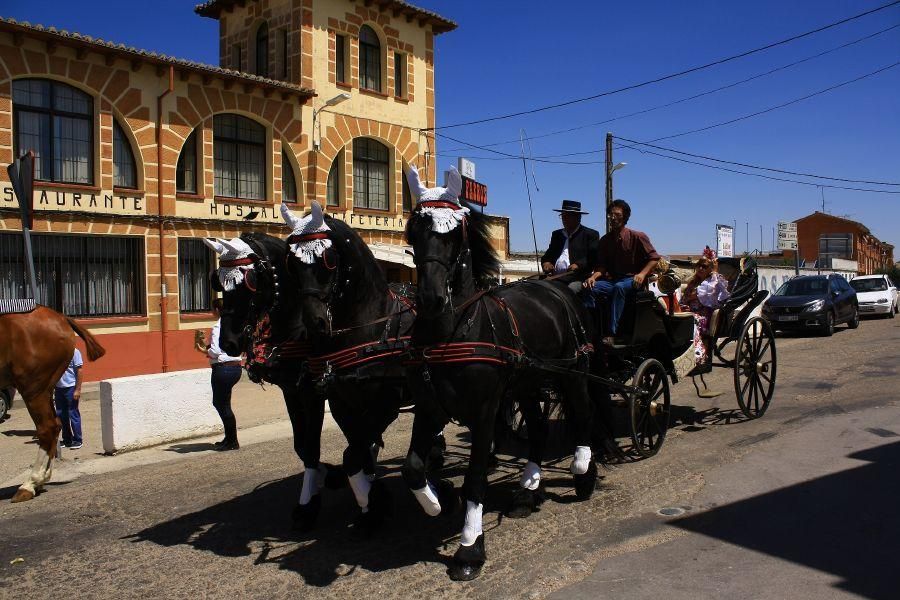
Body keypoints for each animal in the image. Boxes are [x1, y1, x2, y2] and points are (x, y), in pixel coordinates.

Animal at [0, 304, 105, 502]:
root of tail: (60, 317)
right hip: (46, 389)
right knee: (55, 425)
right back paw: (40, 479)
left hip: (34, 387)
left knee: (47, 428)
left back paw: (31, 483)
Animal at [207, 234, 334, 528]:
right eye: (219, 282)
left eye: (251, 281)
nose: (228, 342)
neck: (298, 328)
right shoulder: (291, 391)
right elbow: (301, 445)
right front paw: (323, 476)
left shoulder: (312, 393)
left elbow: (312, 445)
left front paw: (310, 505)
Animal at [400, 166, 596, 580]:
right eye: (415, 230)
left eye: (453, 234)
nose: (430, 299)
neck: (454, 329)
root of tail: (557, 291)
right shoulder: (429, 408)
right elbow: (412, 468)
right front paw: (438, 500)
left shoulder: (484, 413)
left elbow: (475, 478)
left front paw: (469, 547)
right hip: (528, 384)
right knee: (537, 429)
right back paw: (528, 489)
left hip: (574, 372)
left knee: (585, 415)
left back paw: (583, 470)